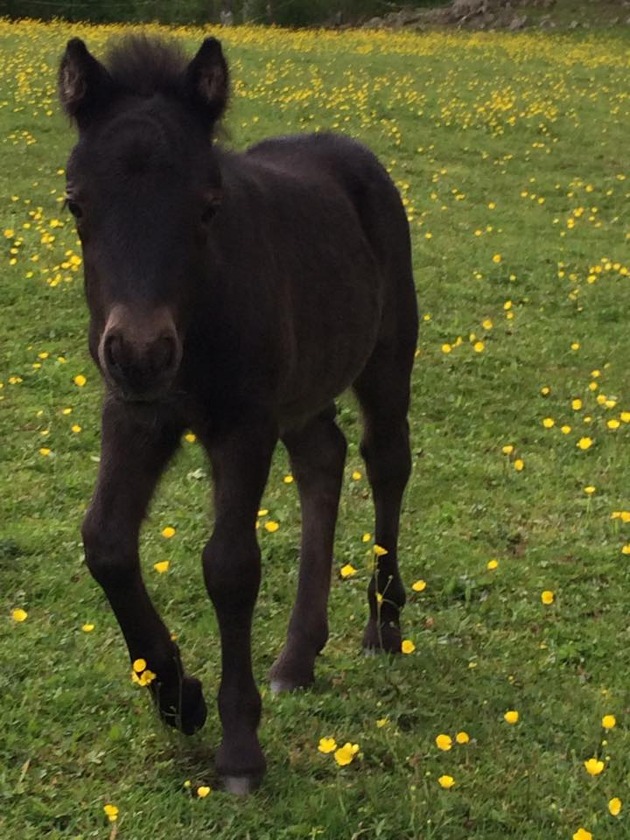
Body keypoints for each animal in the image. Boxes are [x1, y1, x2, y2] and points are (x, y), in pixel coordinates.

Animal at [59, 34, 420, 796]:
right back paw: (295, 658)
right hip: (302, 390)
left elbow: (229, 566)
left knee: (385, 462)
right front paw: (178, 697)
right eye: (75, 204)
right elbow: (105, 542)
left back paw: (382, 629)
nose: (142, 352)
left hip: (386, 354)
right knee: (322, 458)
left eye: (209, 205)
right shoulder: (135, 412)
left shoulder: (243, 425)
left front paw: (239, 752)